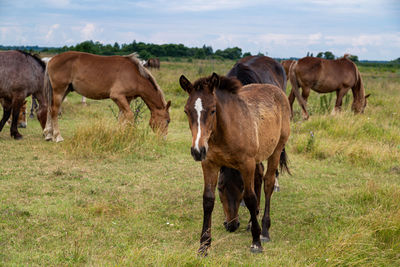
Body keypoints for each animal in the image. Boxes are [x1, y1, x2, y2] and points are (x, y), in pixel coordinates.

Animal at [43, 50, 171, 142]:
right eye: (168, 121)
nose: (164, 139)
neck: (135, 75)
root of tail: (51, 60)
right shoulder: (117, 96)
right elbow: (129, 115)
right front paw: (128, 135)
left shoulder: (126, 99)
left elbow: (121, 117)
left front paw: (119, 134)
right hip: (59, 90)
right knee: (54, 110)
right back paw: (57, 136)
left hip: (65, 90)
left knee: (50, 109)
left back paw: (48, 134)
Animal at [180, 73, 290, 255]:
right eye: (186, 111)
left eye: (213, 110)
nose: (197, 151)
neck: (225, 132)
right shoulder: (209, 164)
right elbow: (208, 200)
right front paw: (204, 245)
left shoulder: (246, 164)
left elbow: (250, 198)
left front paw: (256, 242)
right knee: (259, 178)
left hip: (276, 149)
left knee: (268, 183)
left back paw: (264, 231)